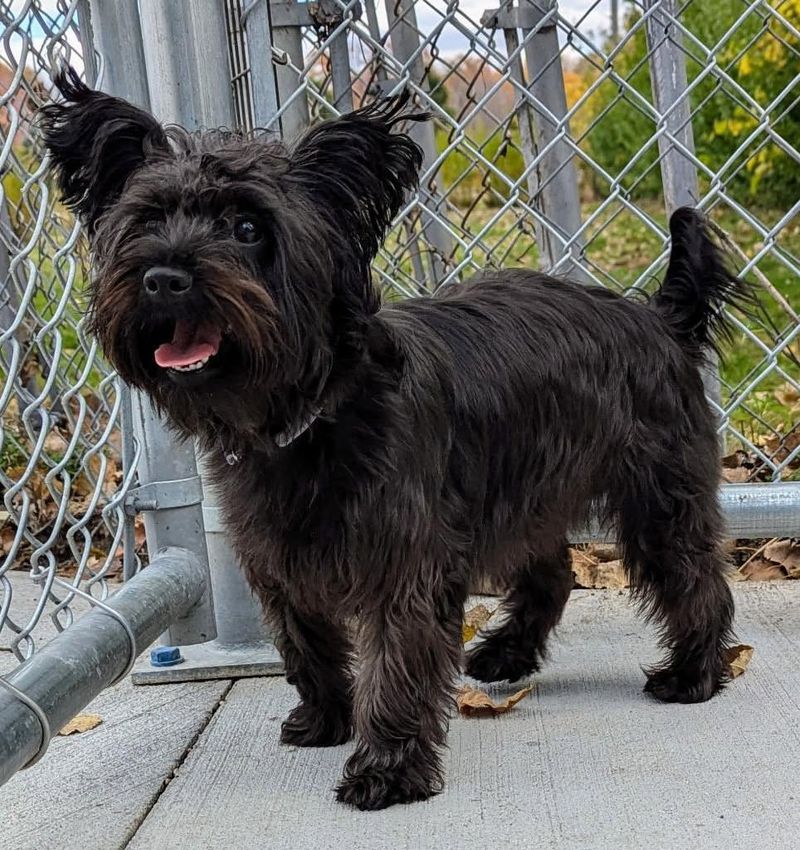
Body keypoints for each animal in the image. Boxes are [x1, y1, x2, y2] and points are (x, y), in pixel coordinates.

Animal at [40, 66, 748, 808]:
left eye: (247, 227)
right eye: (148, 221)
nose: (163, 277)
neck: (313, 414)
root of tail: (659, 317)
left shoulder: (402, 559)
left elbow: (396, 661)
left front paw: (388, 765)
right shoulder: (276, 555)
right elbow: (306, 642)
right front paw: (327, 717)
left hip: (658, 496)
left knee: (696, 576)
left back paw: (695, 673)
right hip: (526, 494)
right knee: (552, 573)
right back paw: (507, 652)